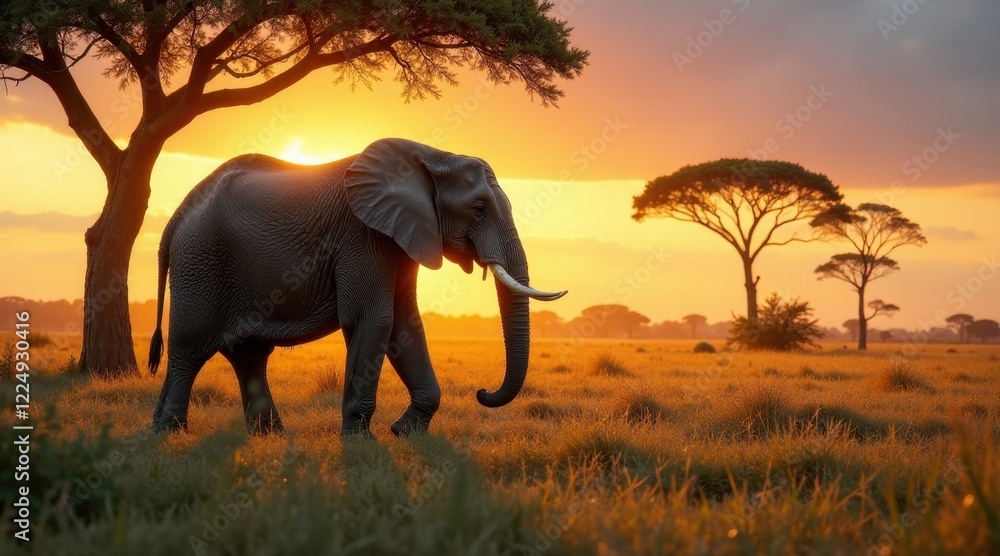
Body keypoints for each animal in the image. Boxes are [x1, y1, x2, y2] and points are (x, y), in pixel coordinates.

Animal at [148, 138, 566, 437]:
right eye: (479, 209)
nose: (482, 393)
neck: (432, 155)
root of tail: (177, 217)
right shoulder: (361, 236)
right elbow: (375, 320)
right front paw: (359, 440)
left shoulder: (400, 236)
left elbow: (405, 324)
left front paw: (404, 433)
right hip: (201, 262)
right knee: (191, 348)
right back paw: (172, 432)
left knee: (248, 353)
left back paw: (269, 436)